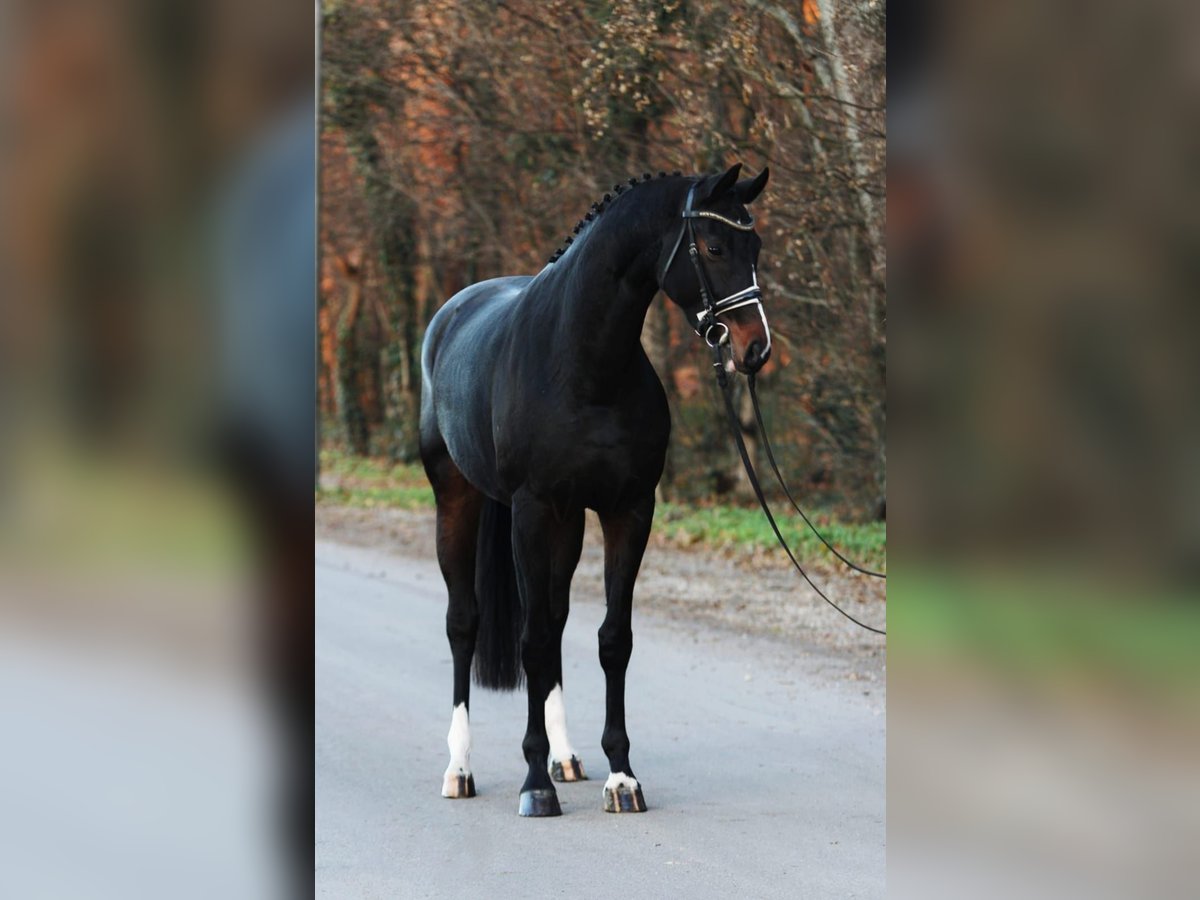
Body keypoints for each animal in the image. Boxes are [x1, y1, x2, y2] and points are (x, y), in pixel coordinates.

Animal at [417, 162, 772, 816]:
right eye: (714, 247)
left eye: (755, 246)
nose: (754, 348)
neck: (583, 365)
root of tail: (450, 313)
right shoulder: (532, 510)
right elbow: (531, 642)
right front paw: (534, 786)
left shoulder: (626, 510)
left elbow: (612, 639)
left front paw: (621, 777)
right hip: (458, 500)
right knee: (465, 624)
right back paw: (461, 768)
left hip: (568, 523)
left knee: (555, 619)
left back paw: (566, 758)